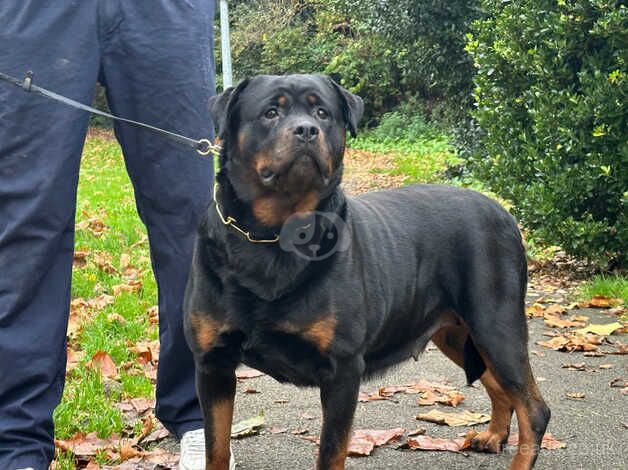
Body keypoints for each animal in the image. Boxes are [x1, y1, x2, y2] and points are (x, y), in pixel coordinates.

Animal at [185, 74, 548, 470]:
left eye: (322, 112)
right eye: (270, 112)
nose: (306, 130)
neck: (275, 235)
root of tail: (504, 213)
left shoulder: (343, 370)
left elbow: (331, 453)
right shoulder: (213, 363)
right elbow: (216, 448)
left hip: (495, 323)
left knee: (534, 408)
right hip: (456, 331)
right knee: (500, 388)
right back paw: (493, 435)